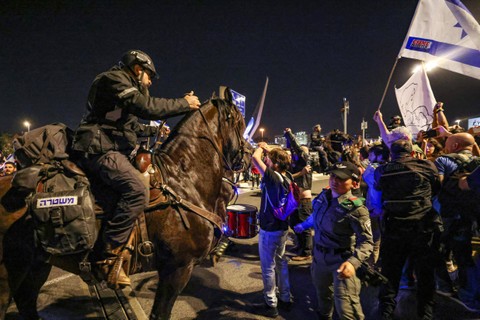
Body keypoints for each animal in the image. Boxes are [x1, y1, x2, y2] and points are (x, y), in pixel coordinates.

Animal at [0, 98, 249, 320]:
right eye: (240, 122)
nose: (247, 157)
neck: (183, 181)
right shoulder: (177, 269)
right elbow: (160, 314)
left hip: (37, 264)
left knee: (26, 301)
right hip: (10, 270)